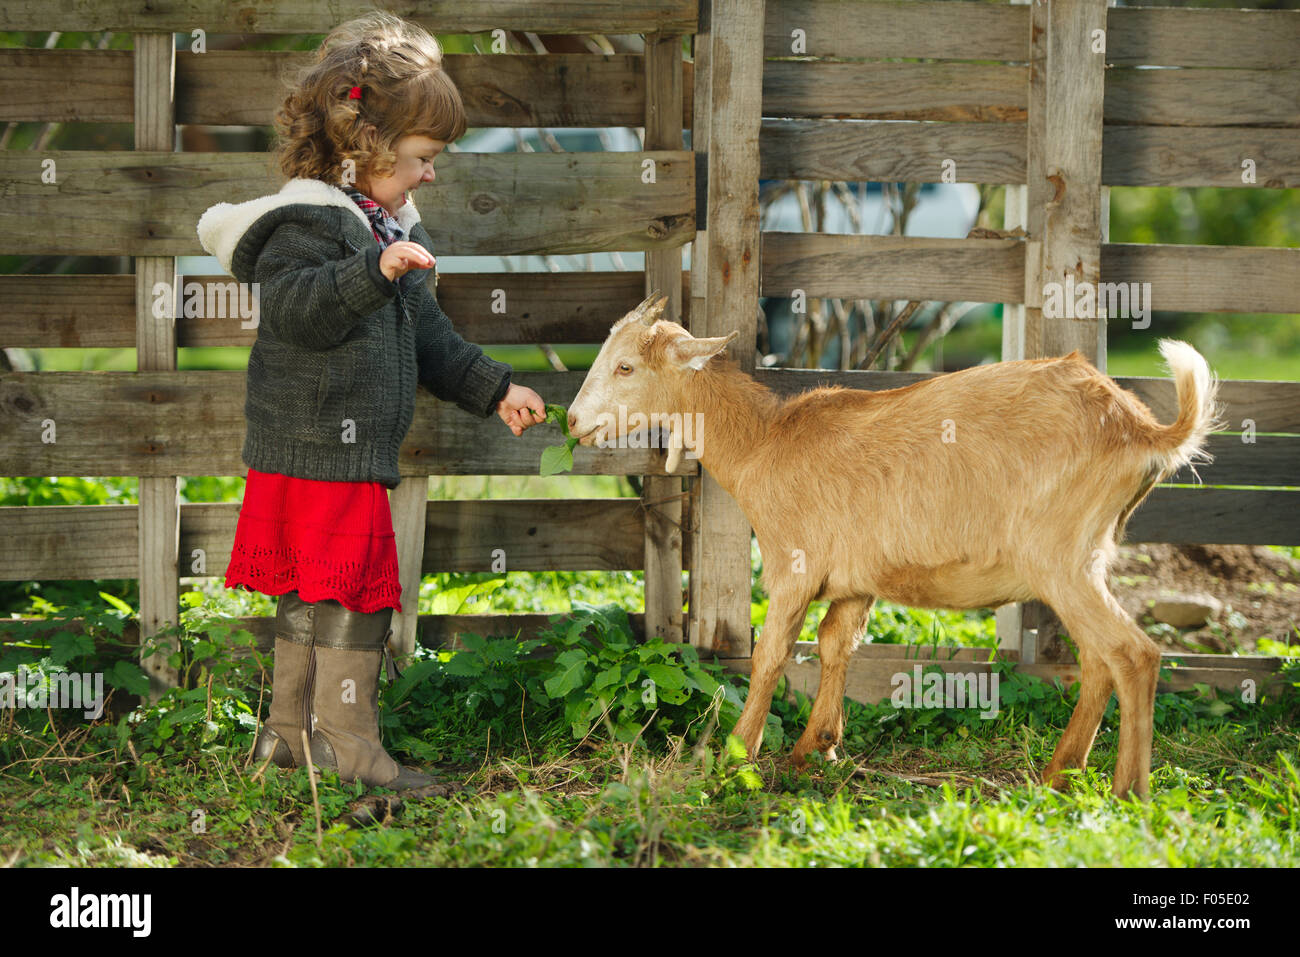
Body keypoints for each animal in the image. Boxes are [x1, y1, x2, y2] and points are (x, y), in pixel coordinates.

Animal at [568, 294, 1221, 799]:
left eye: (625, 367)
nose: (573, 422)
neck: (766, 441)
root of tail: (1142, 429)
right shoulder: (858, 581)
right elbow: (837, 643)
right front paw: (816, 749)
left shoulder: (792, 567)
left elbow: (772, 652)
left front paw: (734, 754)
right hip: (1086, 560)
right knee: (1096, 660)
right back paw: (1062, 773)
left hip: (1062, 560)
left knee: (1133, 654)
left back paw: (1127, 790)